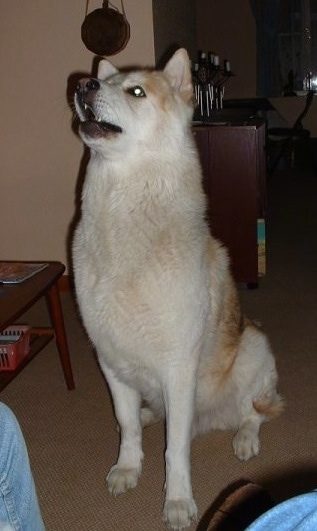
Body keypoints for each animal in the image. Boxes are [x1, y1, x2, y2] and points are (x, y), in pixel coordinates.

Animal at [73, 47, 282, 528]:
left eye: (136, 92)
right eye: (106, 83)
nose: (83, 86)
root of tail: (211, 419)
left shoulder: (178, 367)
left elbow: (176, 452)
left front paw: (178, 502)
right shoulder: (110, 361)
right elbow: (127, 425)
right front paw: (127, 468)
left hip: (253, 348)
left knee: (254, 412)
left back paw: (245, 439)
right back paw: (152, 414)